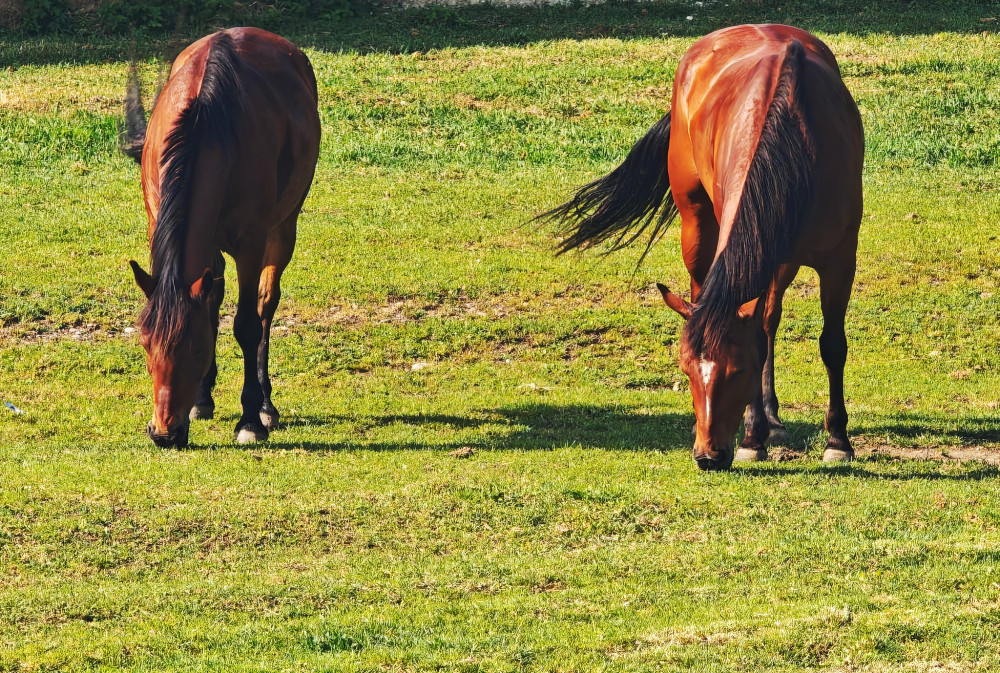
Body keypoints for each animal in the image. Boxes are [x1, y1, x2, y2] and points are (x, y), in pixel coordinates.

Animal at [120, 27, 320, 446]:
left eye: (197, 350)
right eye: (145, 345)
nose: (164, 434)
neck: (206, 127)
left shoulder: (250, 242)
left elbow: (246, 324)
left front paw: (250, 420)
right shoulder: (158, 223)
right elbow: (209, 305)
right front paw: (201, 399)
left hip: (283, 228)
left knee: (265, 305)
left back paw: (265, 405)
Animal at [544, 25, 864, 468]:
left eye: (739, 370)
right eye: (686, 370)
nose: (707, 456)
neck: (797, 138)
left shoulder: (839, 258)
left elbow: (831, 345)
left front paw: (838, 441)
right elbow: (761, 334)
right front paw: (753, 437)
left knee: (770, 319)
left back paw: (774, 417)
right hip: (697, 224)